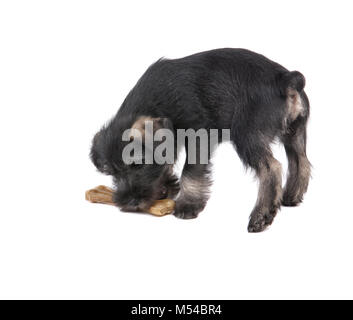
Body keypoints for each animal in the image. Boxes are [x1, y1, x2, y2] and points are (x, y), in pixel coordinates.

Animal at [89, 48, 310, 232]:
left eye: (138, 164)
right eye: (112, 172)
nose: (130, 202)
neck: (158, 99)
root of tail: (285, 79)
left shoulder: (198, 136)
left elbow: (191, 172)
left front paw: (188, 204)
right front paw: (167, 186)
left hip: (247, 135)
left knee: (271, 168)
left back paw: (261, 216)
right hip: (295, 133)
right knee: (300, 162)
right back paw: (290, 197)